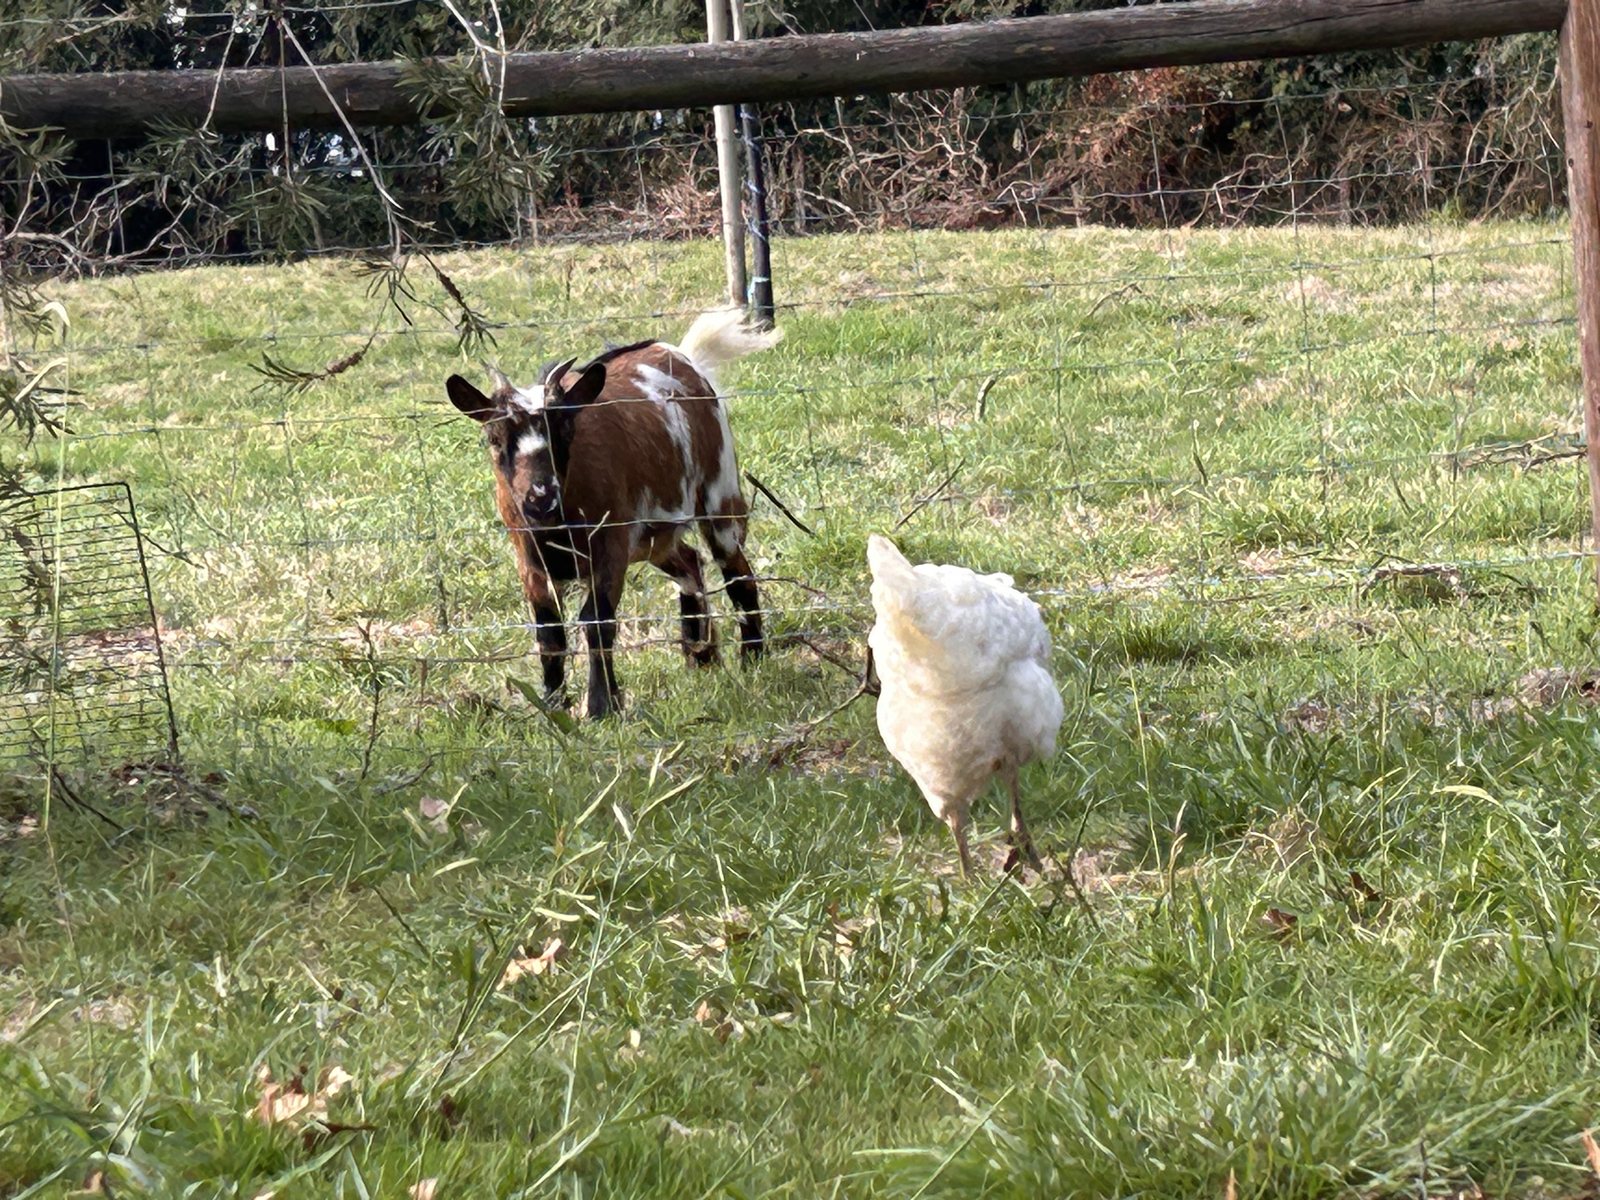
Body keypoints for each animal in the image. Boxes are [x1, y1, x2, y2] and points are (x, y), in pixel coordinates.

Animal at [446, 309, 781, 719]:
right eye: (494, 438)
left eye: (565, 429)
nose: (540, 497)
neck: (558, 523)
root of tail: (683, 356)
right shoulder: (529, 558)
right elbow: (549, 635)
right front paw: (554, 707)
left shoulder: (611, 545)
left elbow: (597, 621)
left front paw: (602, 706)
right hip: (654, 536)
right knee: (689, 563)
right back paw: (700, 655)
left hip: (720, 492)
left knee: (737, 571)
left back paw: (753, 658)